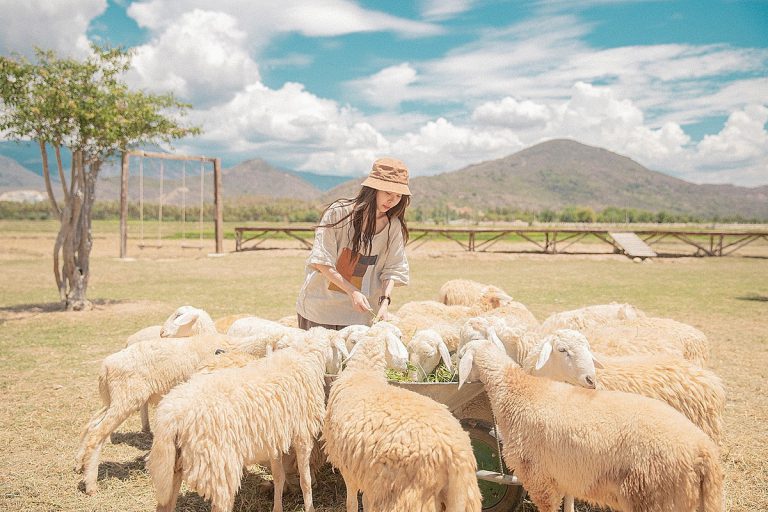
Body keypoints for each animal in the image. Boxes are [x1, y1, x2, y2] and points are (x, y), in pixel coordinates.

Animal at [75, 330, 288, 494]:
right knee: (97, 434)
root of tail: (106, 366)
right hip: (125, 400)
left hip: (113, 400)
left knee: (91, 425)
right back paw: (91, 484)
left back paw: (80, 464)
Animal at [148, 328, 340, 512]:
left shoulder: (275, 439)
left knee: (164, 505)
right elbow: (305, 481)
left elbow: (279, 476)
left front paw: (277, 507)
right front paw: (310, 507)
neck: (302, 357)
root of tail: (170, 418)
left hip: (172, 467)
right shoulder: (302, 436)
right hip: (218, 466)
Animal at [322, 322, 480, 510]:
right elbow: (366, 501)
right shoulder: (367, 474)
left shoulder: (349, 469)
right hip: (466, 497)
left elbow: (352, 503)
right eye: (399, 336)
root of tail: (455, 454)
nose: (405, 365)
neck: (363, 373)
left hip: (407, 497)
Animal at [460, 340, 724, 512]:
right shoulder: (563, 475)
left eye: (462, 353)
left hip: (658, 497)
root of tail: (704, 452)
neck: (517, 391)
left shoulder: (539, 479)